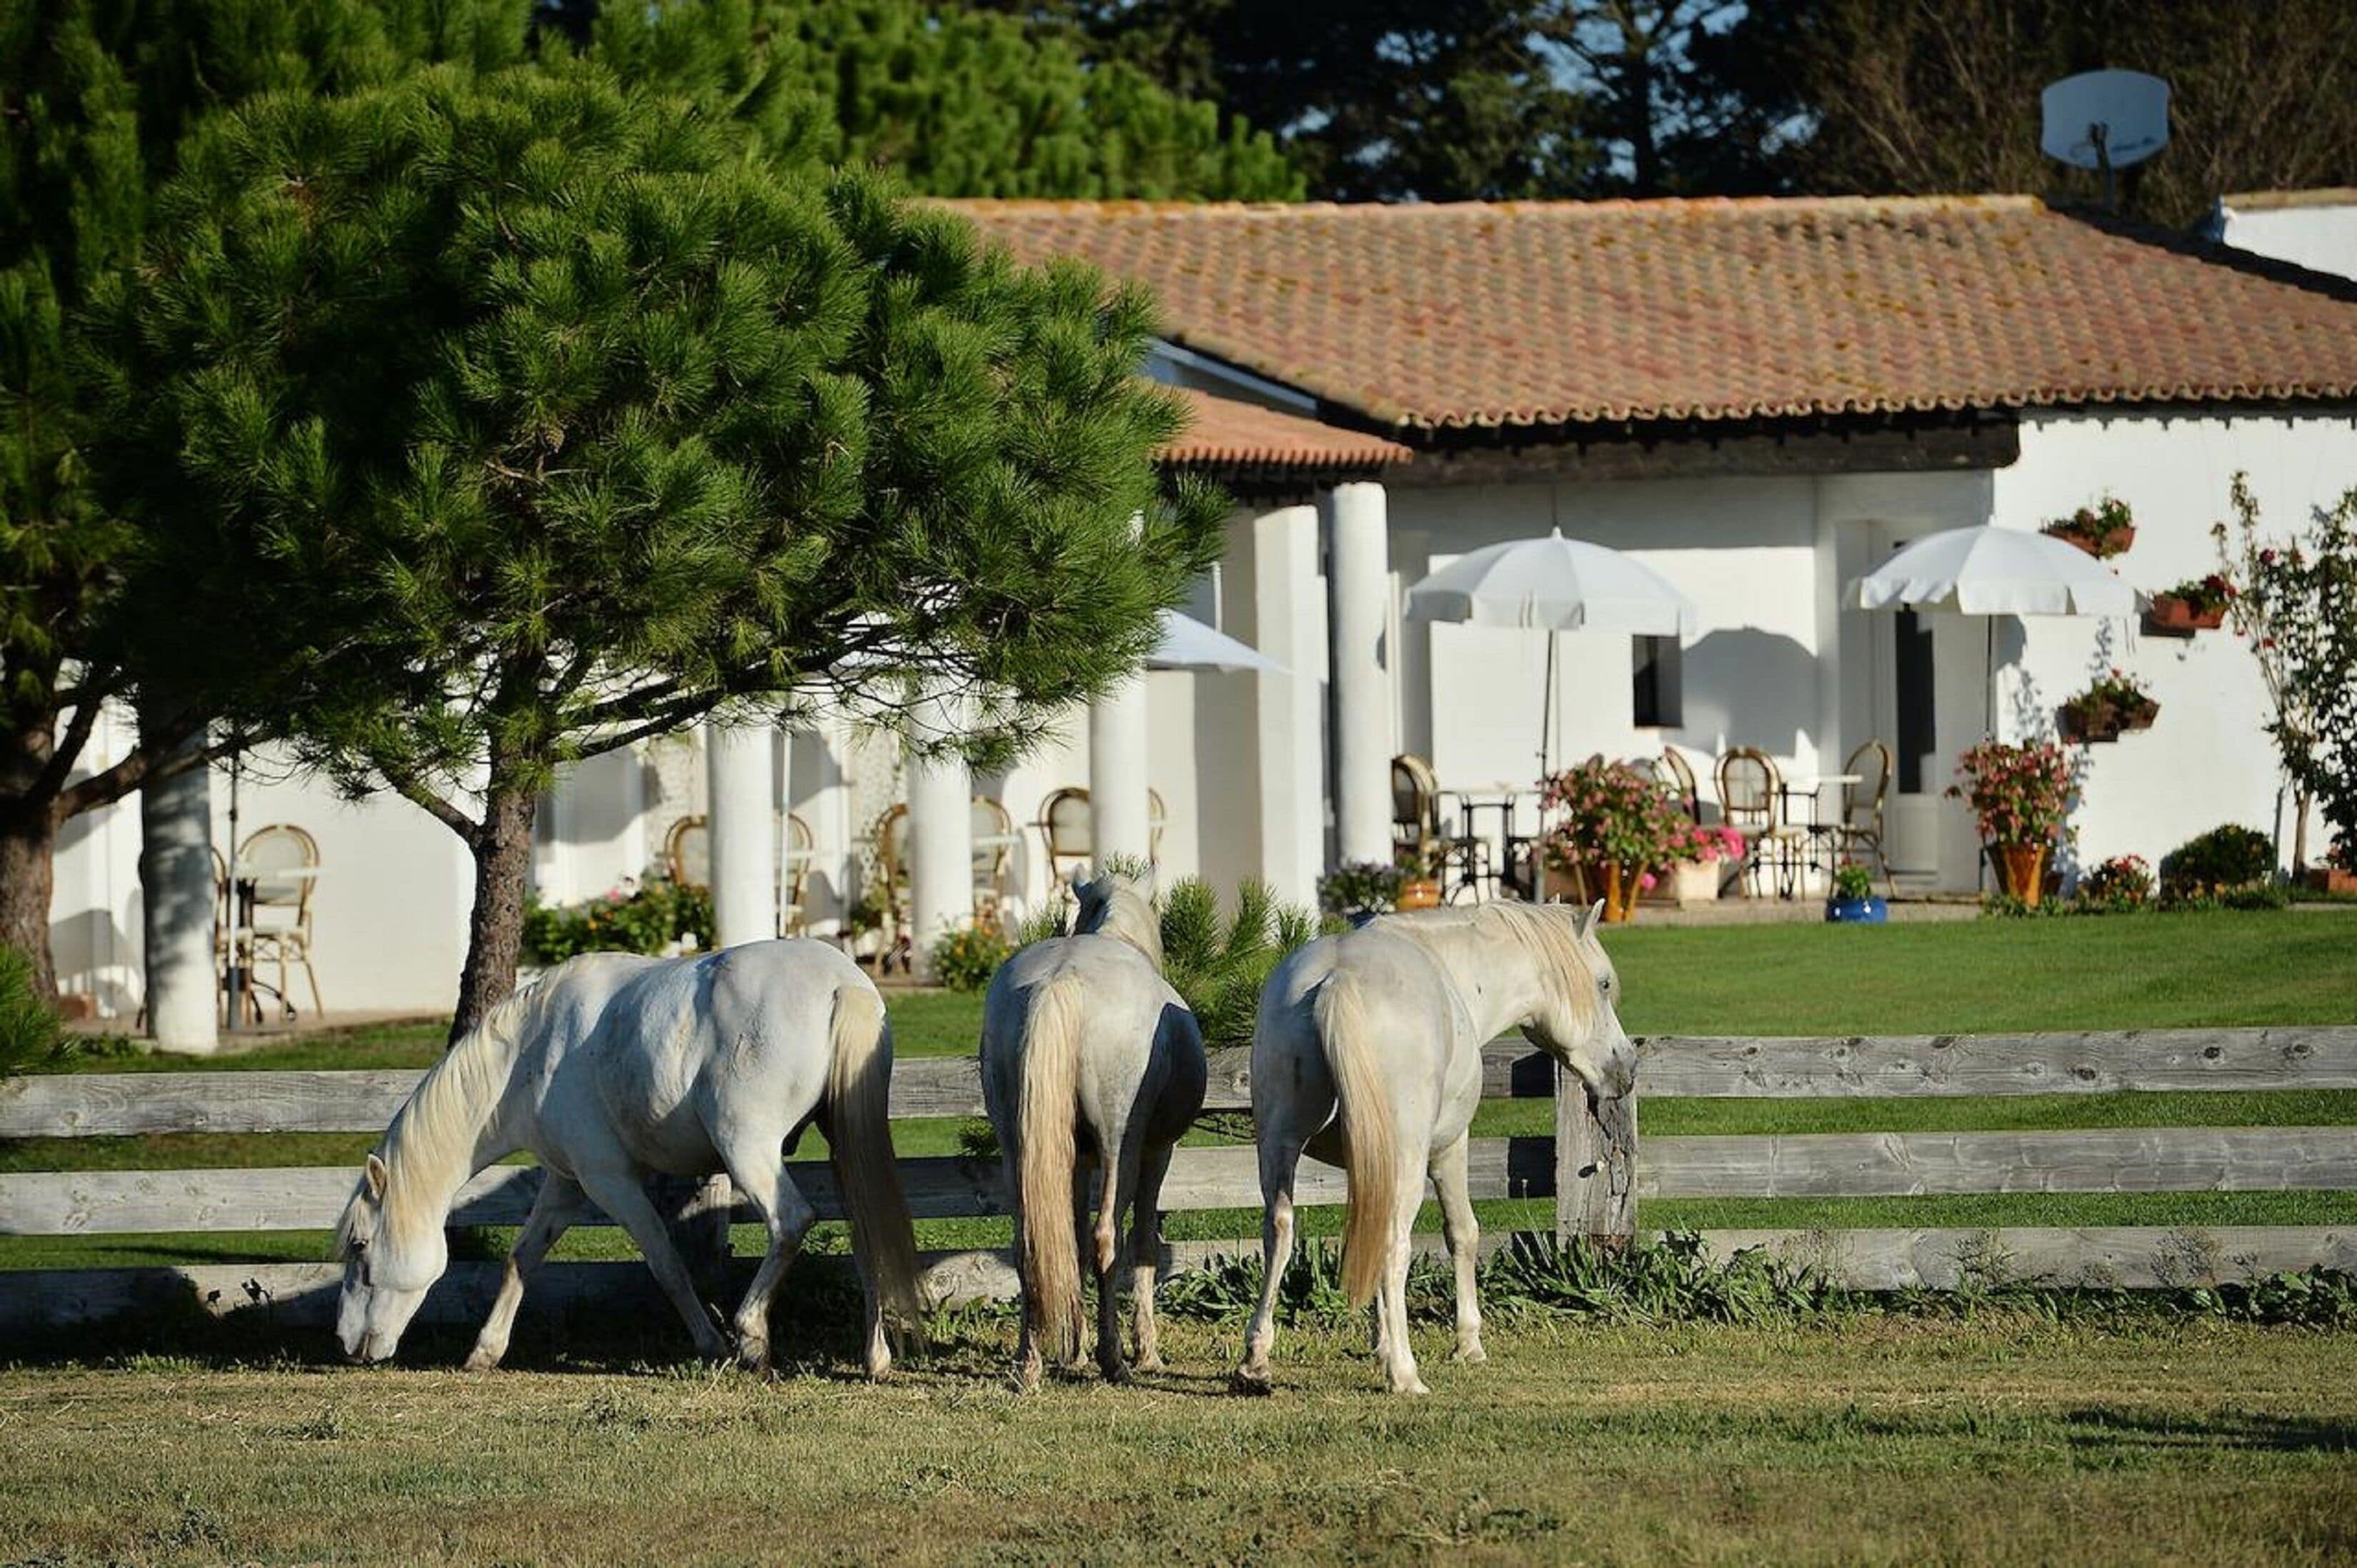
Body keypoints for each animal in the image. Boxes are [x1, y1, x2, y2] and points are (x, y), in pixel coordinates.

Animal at [333, 939, 922, 1377]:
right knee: (866, 1231)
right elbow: (522, 1257)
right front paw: (485, 1350)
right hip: (841, 1141)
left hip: (747, 1150)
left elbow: (666, 1263)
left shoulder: (609, 1181)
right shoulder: (565, 1183)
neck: (531, 1053)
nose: (346, 1341)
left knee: (791, 1222)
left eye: (360, 1247)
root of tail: (842, 983)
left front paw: (712, 1344)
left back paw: (751, 1336)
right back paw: (874, 1358)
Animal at [979, 866, 1206, 1390]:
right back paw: (1114, 1359)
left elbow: (1074, 1243)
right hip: (1120, 1146)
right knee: (1108, 1239)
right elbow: (1142, 1243)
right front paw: (1145, 1351)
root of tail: (1060, 980)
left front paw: (1073, 1351)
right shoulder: (1156, 1152)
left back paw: (1030, 1363)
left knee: (1029, 1245)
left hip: (1018, 1147)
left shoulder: (1078, 1160)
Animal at [1234, 899, 1637, 1396]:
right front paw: (1466, 1343)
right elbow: (1462, 1233)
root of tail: (1336, 979)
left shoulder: (1367, 1165)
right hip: (1408, 1160)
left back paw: (1256, 1361)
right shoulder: (1449, 1149)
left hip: (1279, 1145)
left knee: (1280, 1229)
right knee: (1395, 1244)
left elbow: (1364, 1239)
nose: (1626, 1067)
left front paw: (1381, 1343)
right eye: (1603, 983)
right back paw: (1406, 1375)